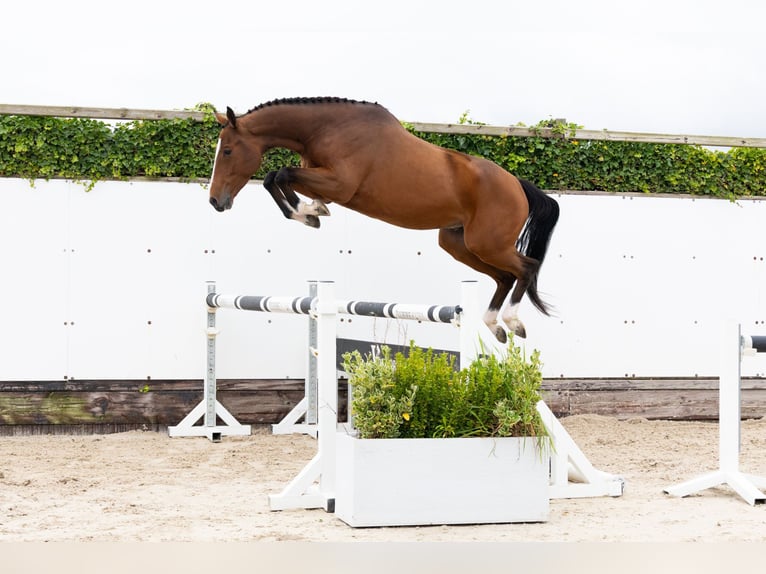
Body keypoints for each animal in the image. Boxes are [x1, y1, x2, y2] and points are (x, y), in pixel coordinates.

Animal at [209, 97, 559, 343]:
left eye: (227, 151)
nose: (215, 201)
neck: (326, 129)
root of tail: (518, 185)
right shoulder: (325, 183)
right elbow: (277, 178)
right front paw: (311, 212)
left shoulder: (340, 185)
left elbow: (279, 174)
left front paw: (306, 213)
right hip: (459, 244)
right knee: (504, 277)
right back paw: (494, 326)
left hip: (487, 244)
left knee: (525, 268)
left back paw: (513, 322)